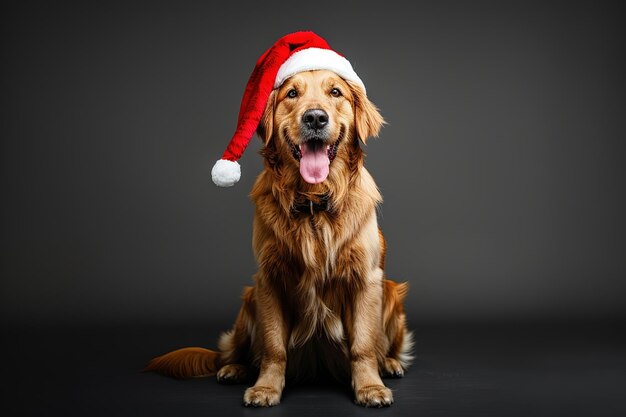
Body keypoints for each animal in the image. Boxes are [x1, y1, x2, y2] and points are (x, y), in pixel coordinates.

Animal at [145, 68, 410, 406]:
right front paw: (266, 388)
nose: (315, 118)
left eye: (335, 92)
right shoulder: (270, 278)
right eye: (292, 94)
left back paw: (388, 363)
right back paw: (234, 368)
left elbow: (363, 344)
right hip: (249, 301)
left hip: (390, 291)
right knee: (234, 352)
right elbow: (273, 347)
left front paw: (370, 388)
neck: (314, 203)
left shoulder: (365, 278)